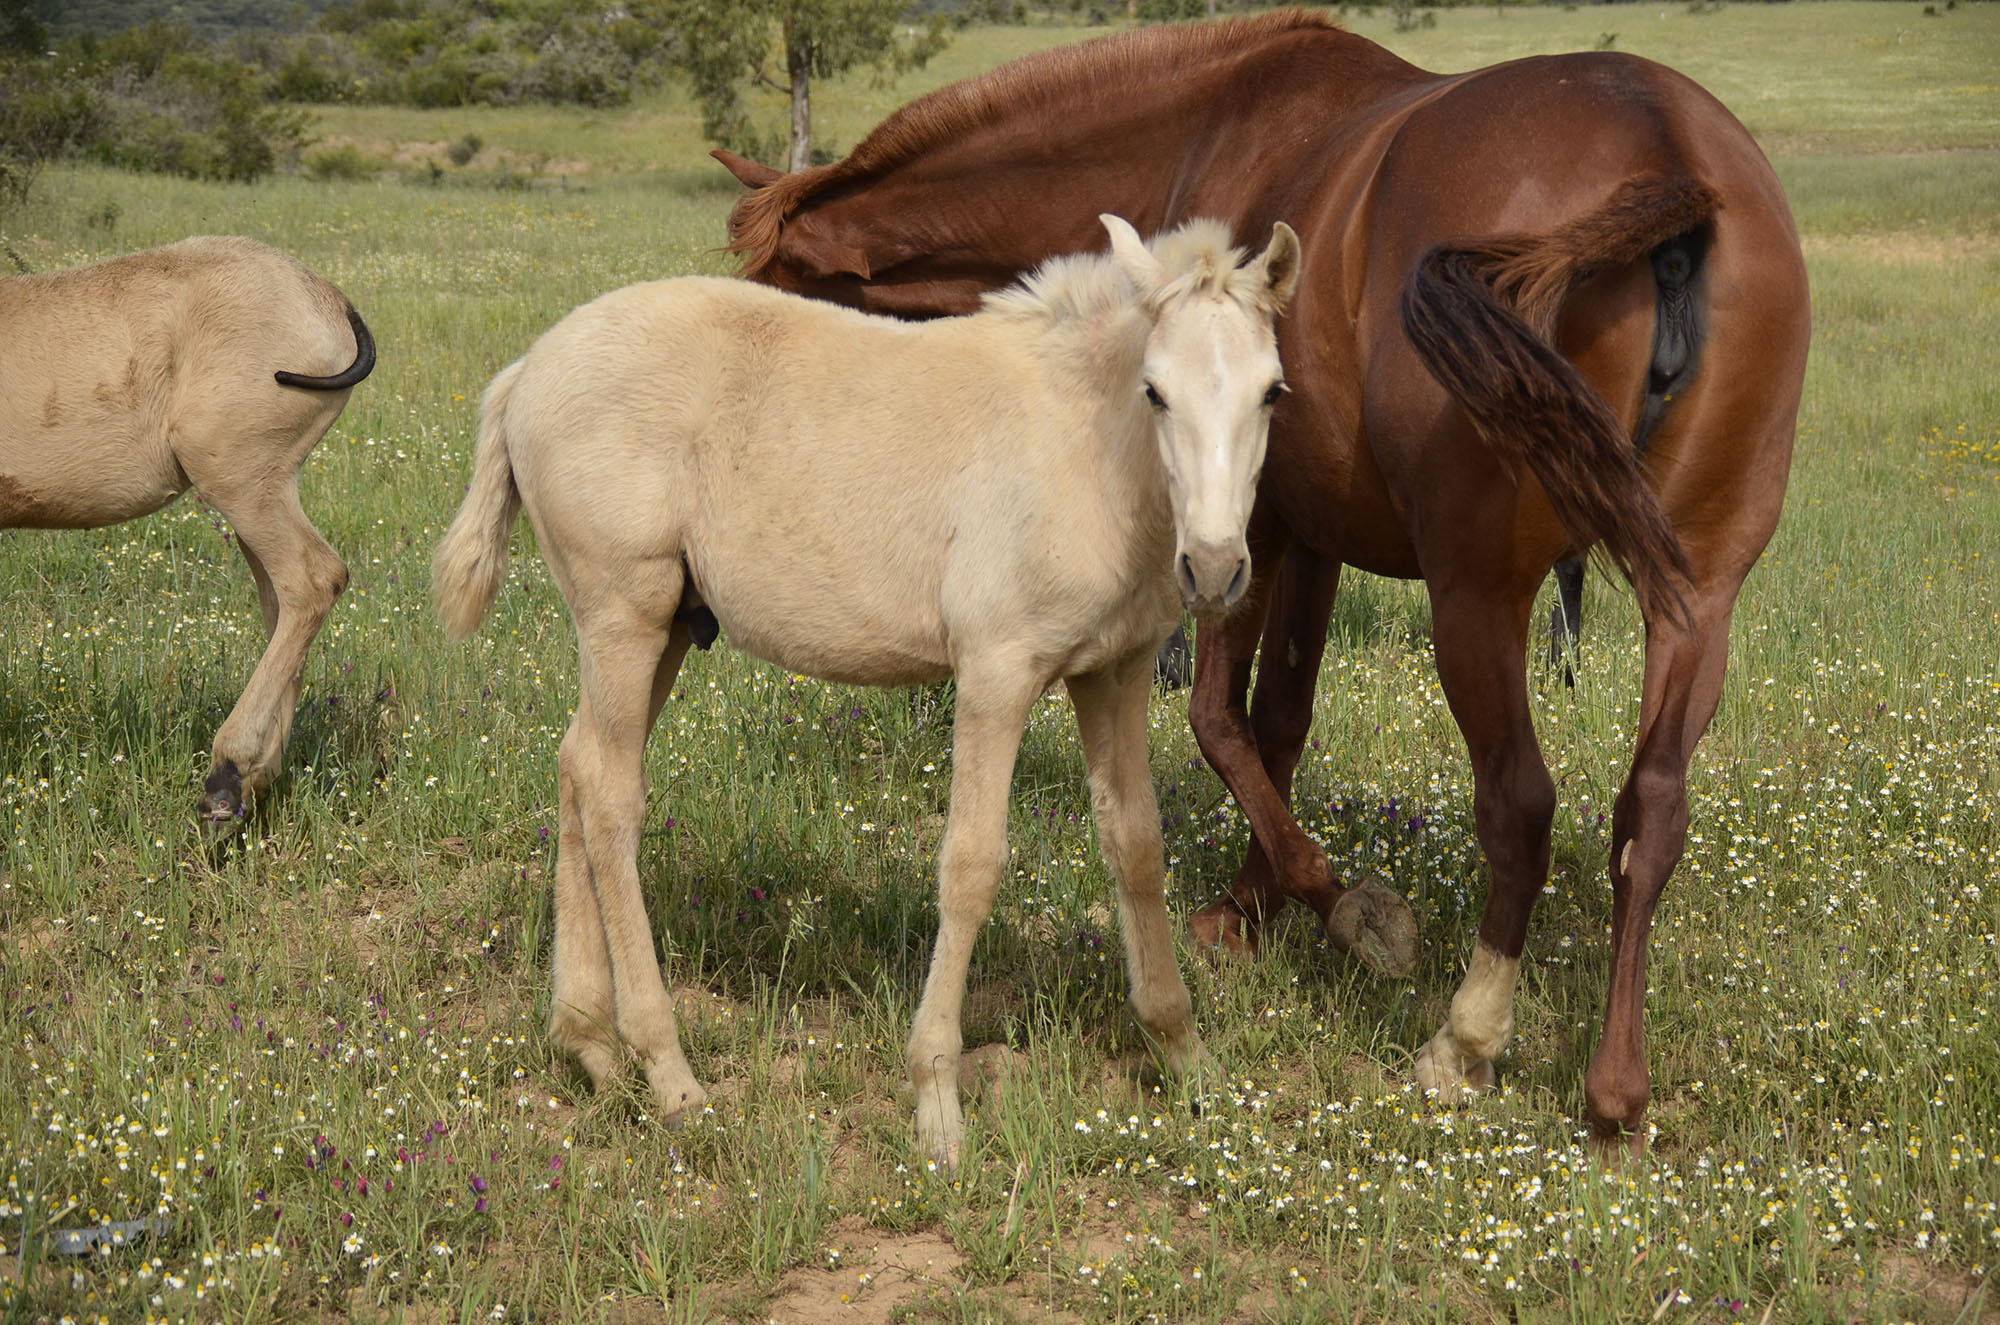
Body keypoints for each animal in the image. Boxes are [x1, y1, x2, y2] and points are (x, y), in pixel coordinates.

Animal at [0, 233, 376, 824]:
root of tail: (326, 295)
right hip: (262, 488)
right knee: (282, 601)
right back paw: (257, 780)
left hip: (236, 479)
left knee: (315, 578)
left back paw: (229, 772)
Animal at [438, 213, 1304, 1168]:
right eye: (1154, 391)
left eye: (1272, 392)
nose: (1216, 568)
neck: (1085, 448)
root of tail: (526, 371)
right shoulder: (996, 671)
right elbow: (970, 863)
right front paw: (937, 1099)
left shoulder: (1115, 671)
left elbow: (1137, 846)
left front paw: (1188, 1058)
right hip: (622, 612)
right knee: (611, 797)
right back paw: (669, 1072)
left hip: (661, 626)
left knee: (576, 766)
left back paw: (587, 1040)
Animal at [720, 10, 1816, 1152]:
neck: (1210, 127)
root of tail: (1661, 146)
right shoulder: (1306, 535)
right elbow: (1278, 722)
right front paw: (1256, 907)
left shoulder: (1243, 537)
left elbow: (1217, 716)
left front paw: (1340, 910)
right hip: (1693, 601)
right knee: (1651, 812)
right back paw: (1614, 1086)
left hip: (1476, 599)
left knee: (1519, 803)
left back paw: (1466, 1037)